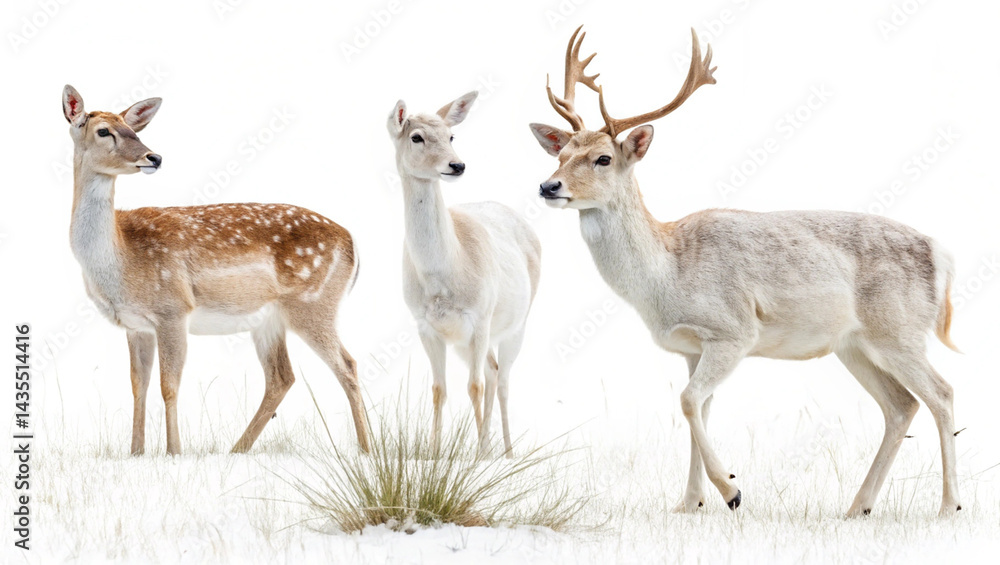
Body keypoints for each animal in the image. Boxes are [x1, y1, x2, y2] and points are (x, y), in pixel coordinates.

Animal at [61, 85, 369, 456]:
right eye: (104, 131)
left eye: (133, 129)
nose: (154, 157)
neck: (119, 258)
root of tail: (353, 244)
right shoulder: (136, 325)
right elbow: (138, 385)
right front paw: (135, 453)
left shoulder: (173, 309)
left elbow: (168, 385)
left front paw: (174, 452)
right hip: (270, 320)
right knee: (282, 377)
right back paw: (237, 449)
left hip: (314, 304)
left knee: (347, 365)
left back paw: (367, 450)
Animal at [387, 92, 542, 457]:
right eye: (416, 137)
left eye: (451, 136)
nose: (457, 165)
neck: (441, 279)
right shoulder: (426, 325)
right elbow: (439, 389)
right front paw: (432, 453)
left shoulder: (480, 317)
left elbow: (474, 386)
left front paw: (480, 457)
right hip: (464, 342)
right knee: (493, 370)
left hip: (516, 324)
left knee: (502, 379)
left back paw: (507, 452)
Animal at [529, 27, 962, 517]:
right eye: (561, 153)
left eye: (603, 158)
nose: (548, 185)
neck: (666, 274)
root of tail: (942, 255)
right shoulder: (692, 348)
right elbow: (696, 407)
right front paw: (690, 503)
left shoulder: (733, 331)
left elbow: (687, 400)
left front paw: (731, 491)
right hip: (854, 345)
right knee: (901, 405)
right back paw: (858, 507)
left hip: (899, 330)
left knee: (941, 393)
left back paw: (948, 506)